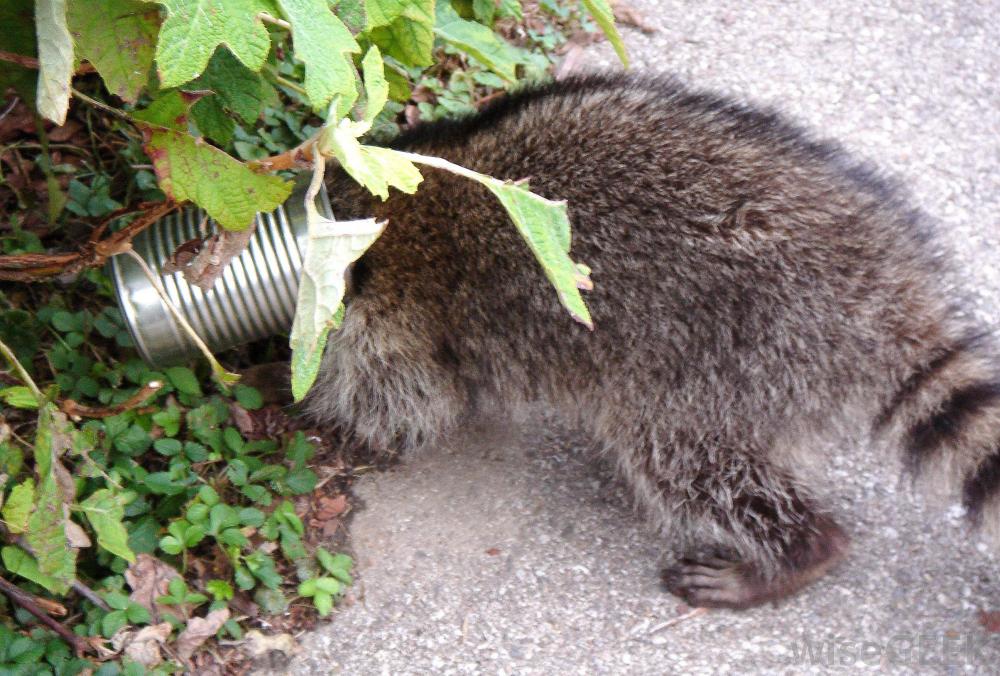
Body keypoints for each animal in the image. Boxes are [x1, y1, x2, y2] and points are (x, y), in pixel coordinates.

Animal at [305, 73, 1000, 609]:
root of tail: (884, 298)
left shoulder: (404, 318)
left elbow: (404, 404)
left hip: (742, 350)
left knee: (686, 459)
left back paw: (798, 551)